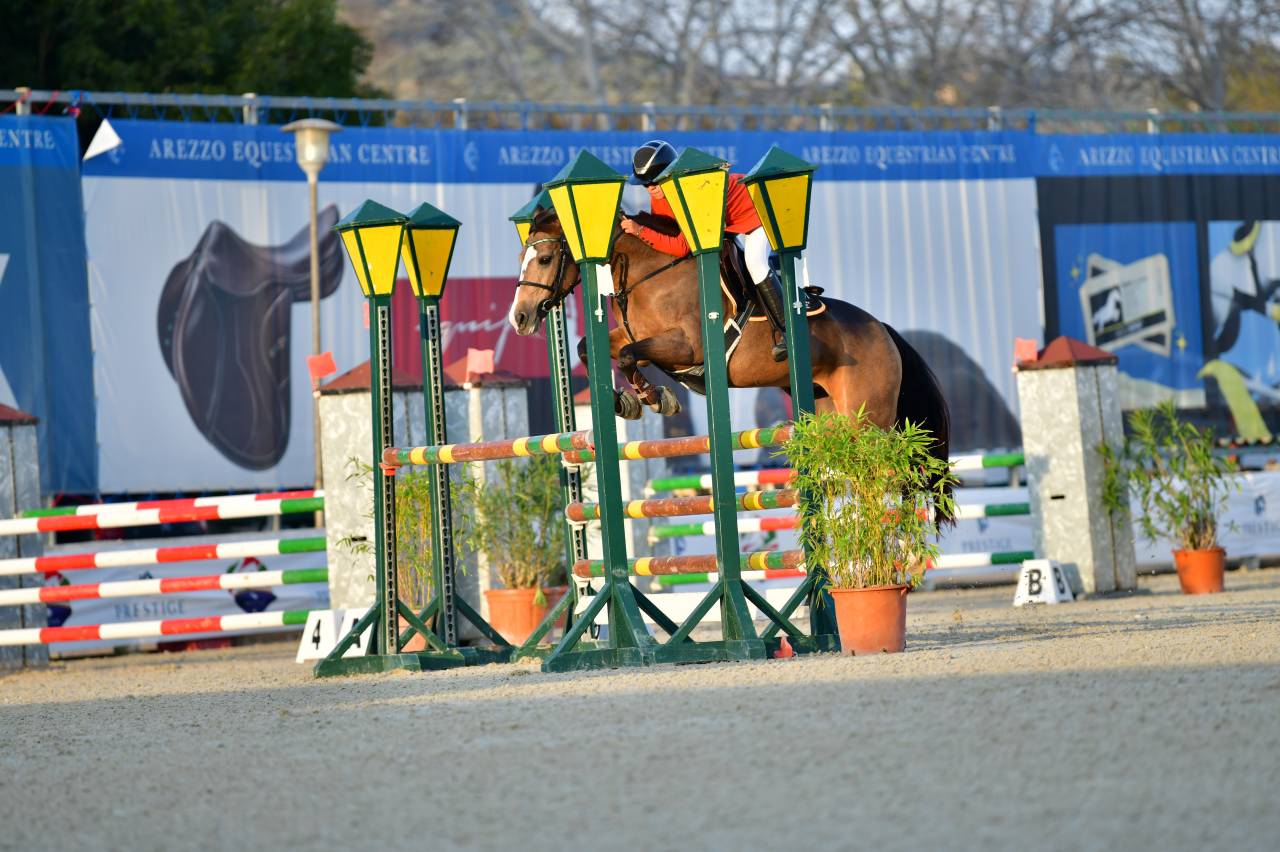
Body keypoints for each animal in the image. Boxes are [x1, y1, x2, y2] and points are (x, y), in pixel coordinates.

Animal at [508, 207, 952, 509]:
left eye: (545, 259)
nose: (520, 318)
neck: (650, 274)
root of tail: (882, 329)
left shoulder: (684, 346)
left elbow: (633, 356)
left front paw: (655, 398)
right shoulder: (631, 338)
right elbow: (590, 347)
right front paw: (628, 401)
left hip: (868, 418)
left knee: (888, 472)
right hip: (829, 411)